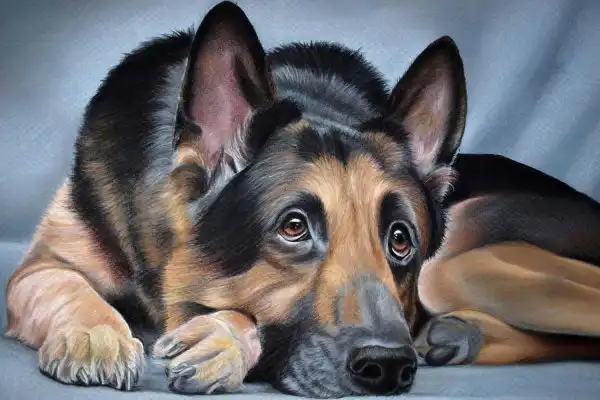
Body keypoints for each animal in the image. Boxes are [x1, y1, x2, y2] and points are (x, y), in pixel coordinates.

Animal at [5, 1, 600, 398]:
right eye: (293, 227)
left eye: (400, 239)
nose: (391, 369)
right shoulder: (38, 268)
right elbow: (65, 287)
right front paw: (95, 335)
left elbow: (244, 319)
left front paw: (222, 338)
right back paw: (459, 335)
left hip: (455, 270)